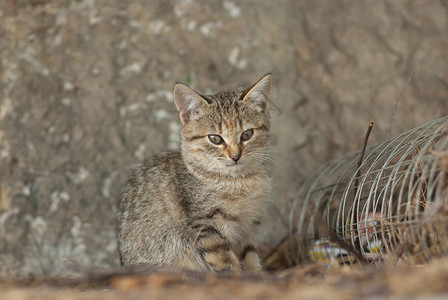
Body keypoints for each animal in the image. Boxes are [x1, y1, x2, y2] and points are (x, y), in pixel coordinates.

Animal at [116, 74, 272, 274]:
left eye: (247, 134)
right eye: (215, 138)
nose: (235, 155)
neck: (238, 180)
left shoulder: (249, 226)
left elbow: (251, 258)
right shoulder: (206, 224)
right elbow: (225, 262)